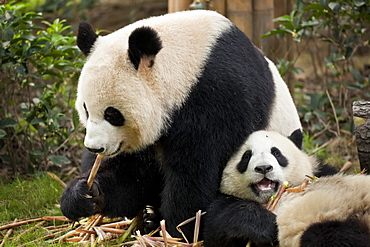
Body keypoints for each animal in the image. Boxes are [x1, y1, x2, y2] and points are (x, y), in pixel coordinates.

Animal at [61, 10, 304, 241]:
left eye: (112, 114)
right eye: (85, 109)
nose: (94, 148)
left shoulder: (218, 97)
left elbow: (194, 173)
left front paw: (176, 231)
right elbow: (133, 177)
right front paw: (84, 193)